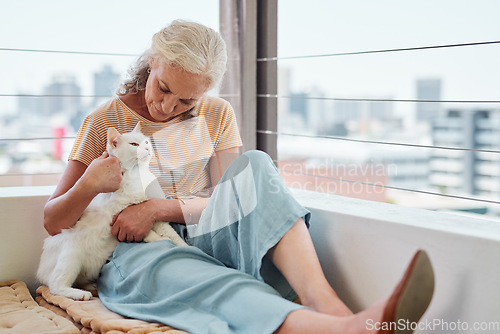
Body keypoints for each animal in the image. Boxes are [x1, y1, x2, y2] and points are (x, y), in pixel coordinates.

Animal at [36, 122, 187, 300]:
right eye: (134, 144)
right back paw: (80, 294)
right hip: (71, 256)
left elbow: (173, 235)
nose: (147, 148)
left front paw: (186, 247)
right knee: (56, 285)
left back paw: (91, 286)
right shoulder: (120, 216)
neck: (137, 175)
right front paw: (160, 240)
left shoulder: (154, 216)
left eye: (146, 142)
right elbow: (149, 233)